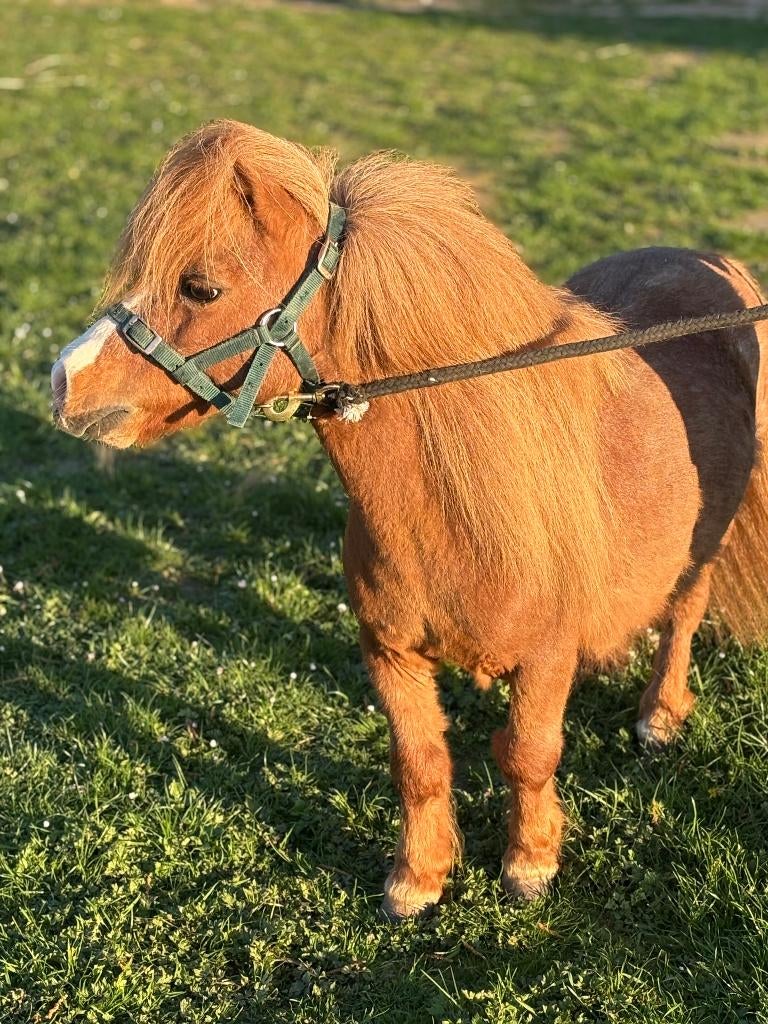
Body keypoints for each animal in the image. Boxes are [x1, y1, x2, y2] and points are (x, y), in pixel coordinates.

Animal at [51, 120, 768, 919]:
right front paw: (417, 878)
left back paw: (661, 715)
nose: (62, 381)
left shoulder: (548, 658)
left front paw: (529, 864)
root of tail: (708, 261)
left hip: (709, 537)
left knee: (685, 612)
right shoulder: (390, 652)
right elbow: (419, 761)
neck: (457, 509)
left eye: (200, 285)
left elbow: (528, 755)